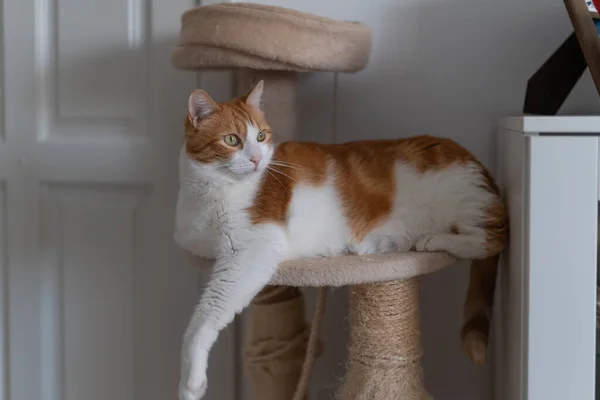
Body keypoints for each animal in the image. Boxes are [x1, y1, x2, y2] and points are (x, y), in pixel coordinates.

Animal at [173, 79, 506, 398]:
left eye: (261, 137)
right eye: (232, 140)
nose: (257, 160)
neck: (211, 191)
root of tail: (475, 161)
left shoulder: (252, 249)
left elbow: (205, 317)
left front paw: (191, 381)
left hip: (463, 200)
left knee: (493, 238)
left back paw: (434, 240)